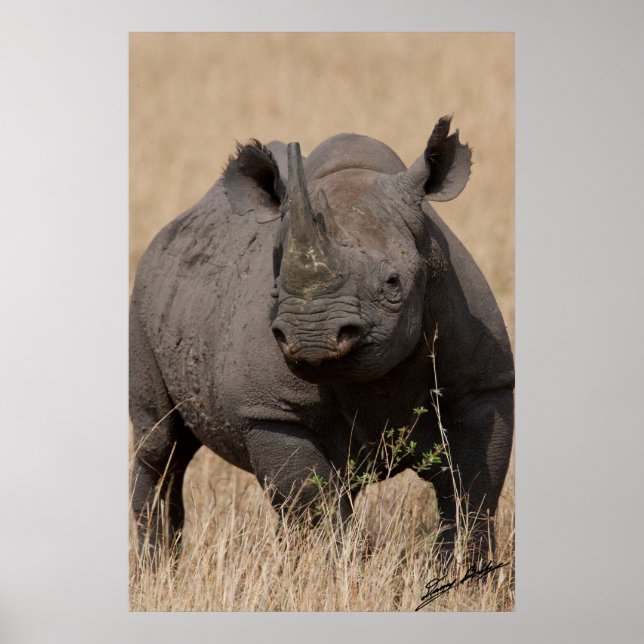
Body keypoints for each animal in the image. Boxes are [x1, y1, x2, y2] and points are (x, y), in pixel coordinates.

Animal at [130, 116, 514, 561]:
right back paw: (157, 565)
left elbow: (472, 493)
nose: (313, 337)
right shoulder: (273, 411)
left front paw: (463, 571)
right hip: (143, 299)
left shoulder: (484, 387)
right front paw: (336, 566)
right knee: (160, 444)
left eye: (393, 283)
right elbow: (311, 503)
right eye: (275, 288)